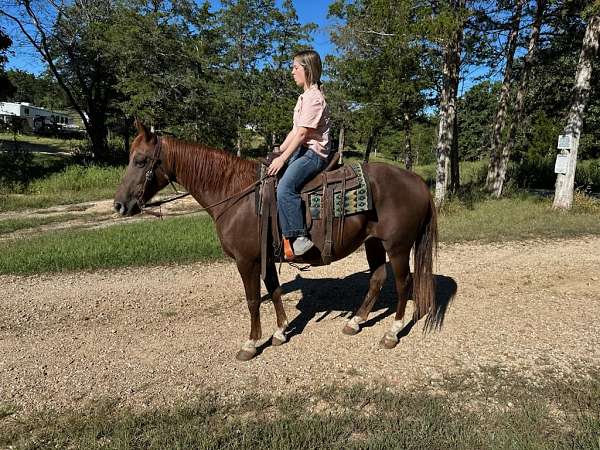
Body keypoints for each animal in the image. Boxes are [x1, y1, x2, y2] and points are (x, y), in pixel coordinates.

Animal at [115, 123, 438, 362]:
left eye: (140, 160)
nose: (119, 205)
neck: (237, 194)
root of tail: (418, 181)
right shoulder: (264, 257)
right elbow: (274, 289)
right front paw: (281, 332)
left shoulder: (247, 261)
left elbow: (253, 299)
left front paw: (251, 343)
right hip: (373, 243)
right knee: (377, 279)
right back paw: (355, 322)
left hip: (397, 246)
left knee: (403, 283)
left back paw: (392, 333)